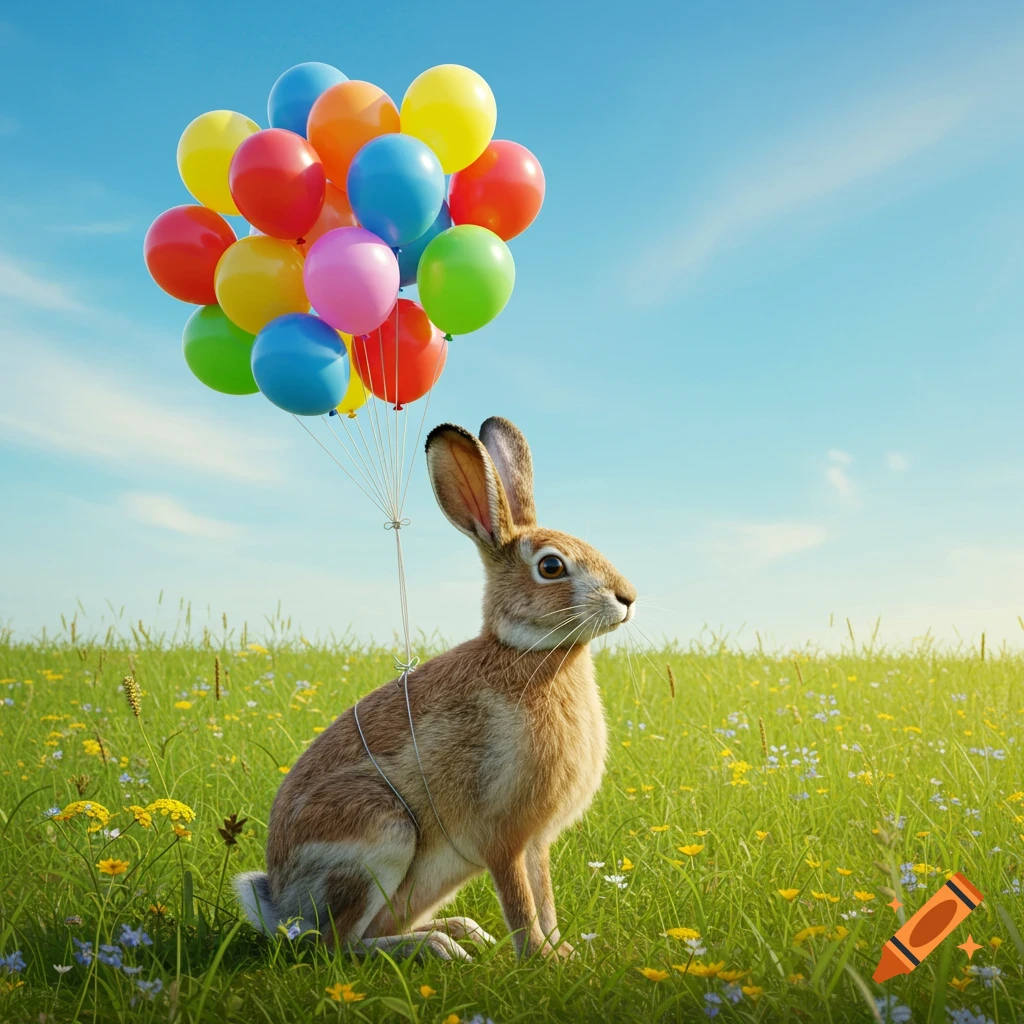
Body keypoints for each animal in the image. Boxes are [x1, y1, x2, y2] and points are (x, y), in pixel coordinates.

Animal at [234, 416, 637, 961]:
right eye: (551, 567)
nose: (627, 598)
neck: (528, 653)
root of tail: (281, 907)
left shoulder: (536, 843)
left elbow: (545, 897)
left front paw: (565, 954)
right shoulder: (503, 836)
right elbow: (521, 902)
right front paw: (539, 959)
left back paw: (461, 932)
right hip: (381, 833)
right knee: (339, 944)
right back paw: (438, 948)